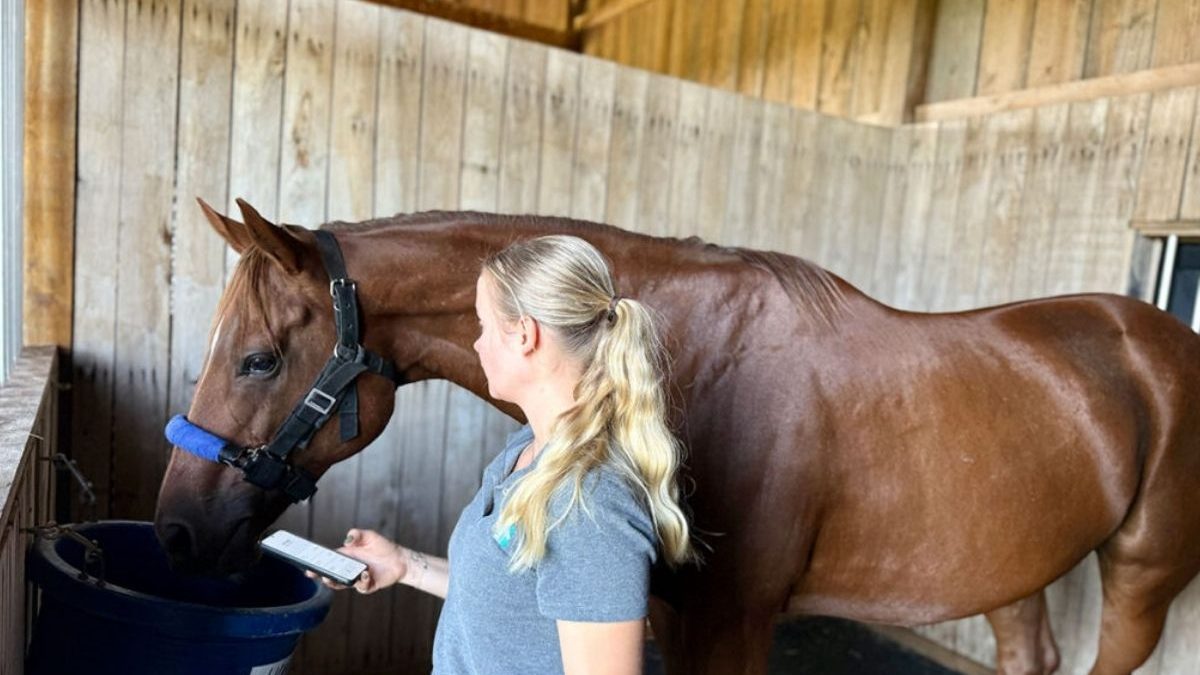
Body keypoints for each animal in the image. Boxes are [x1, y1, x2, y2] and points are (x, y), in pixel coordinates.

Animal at [154, 198, 1200, 675]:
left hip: (1141, 579)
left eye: (256, 359)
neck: (692, 357)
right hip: (1020, 567)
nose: (173, 531)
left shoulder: (733, 623)